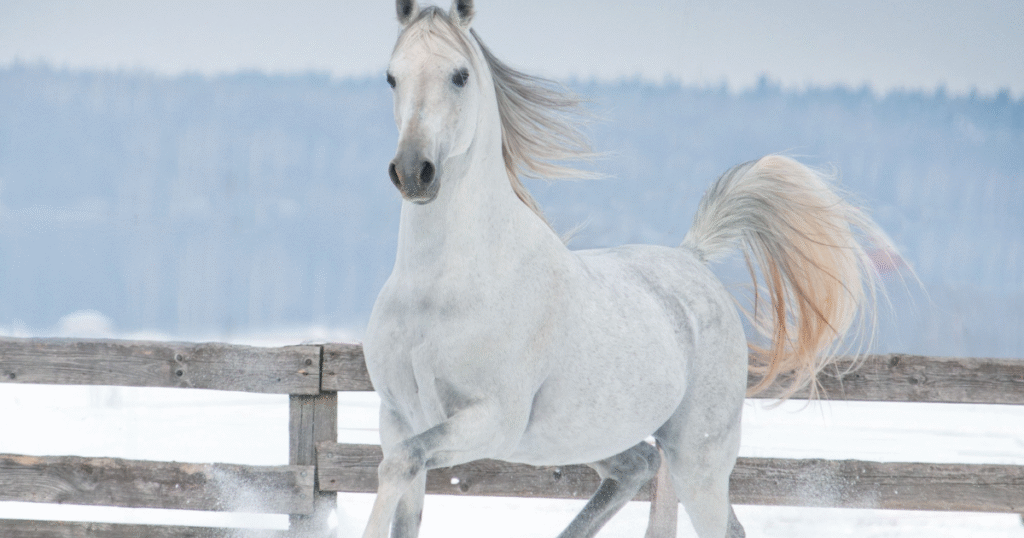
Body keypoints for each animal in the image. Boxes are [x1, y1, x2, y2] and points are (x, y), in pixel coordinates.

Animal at [362, 1, 894, 536]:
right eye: (391, 76)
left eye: (460, 75)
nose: (413, 171)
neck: (440, 290)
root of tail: (692, 257)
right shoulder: (399, 416)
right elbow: (403, 490)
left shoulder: (493, 420)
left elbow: (399, 462)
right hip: (594, 438)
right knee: (640, 466)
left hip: (698, 458)